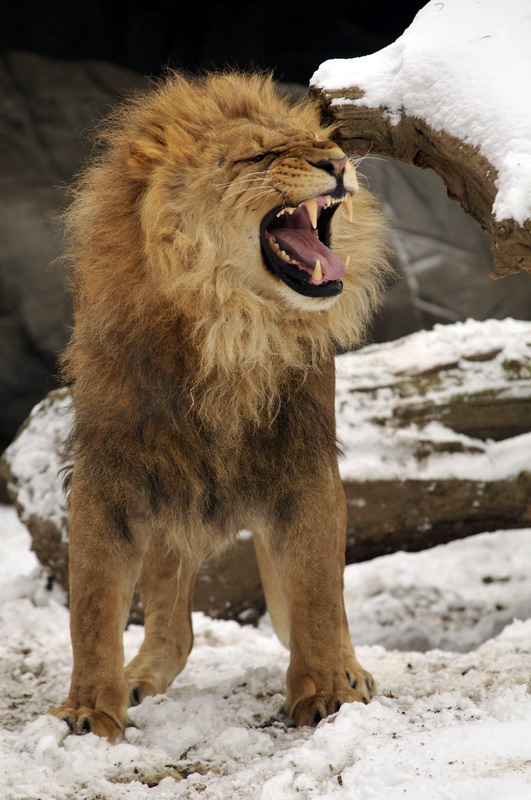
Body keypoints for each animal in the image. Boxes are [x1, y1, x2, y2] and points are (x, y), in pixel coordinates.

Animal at [50, 71, 389, 741]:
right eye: (259, 155)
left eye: (320, 141)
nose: (340, 163)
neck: (230, 331)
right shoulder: (111, 473)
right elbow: (92, 606)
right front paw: (90, 714)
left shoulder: (306, 467)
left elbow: (318, 597)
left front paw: (328, 692)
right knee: (173, 627)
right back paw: (139, 678)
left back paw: (351, 670)